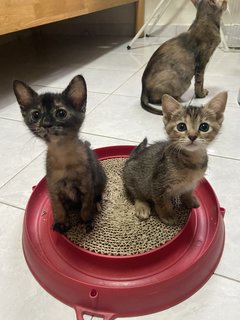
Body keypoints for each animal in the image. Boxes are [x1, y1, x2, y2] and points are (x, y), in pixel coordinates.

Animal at [13, 76, 107, 234]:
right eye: (36, 115)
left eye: (61, 113)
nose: (46, 123)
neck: (62, 155)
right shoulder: (53, 189)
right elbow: (58, 209)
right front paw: (62, 223)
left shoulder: (87, 187)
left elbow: (85, 209)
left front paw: (87, 221)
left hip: (99, 179)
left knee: (98, 194)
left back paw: (98, 204)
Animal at [124, 90, 227, 225]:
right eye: (181, 127)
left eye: (204, 127)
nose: (192, 136)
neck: (191, 162)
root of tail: (131, 158)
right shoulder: (158, 185)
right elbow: (162, 202)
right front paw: (167, 215)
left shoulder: (192, 183)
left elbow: (187, 192)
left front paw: (189, 200)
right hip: (133, 179)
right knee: (137, 194)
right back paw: (142, 206)